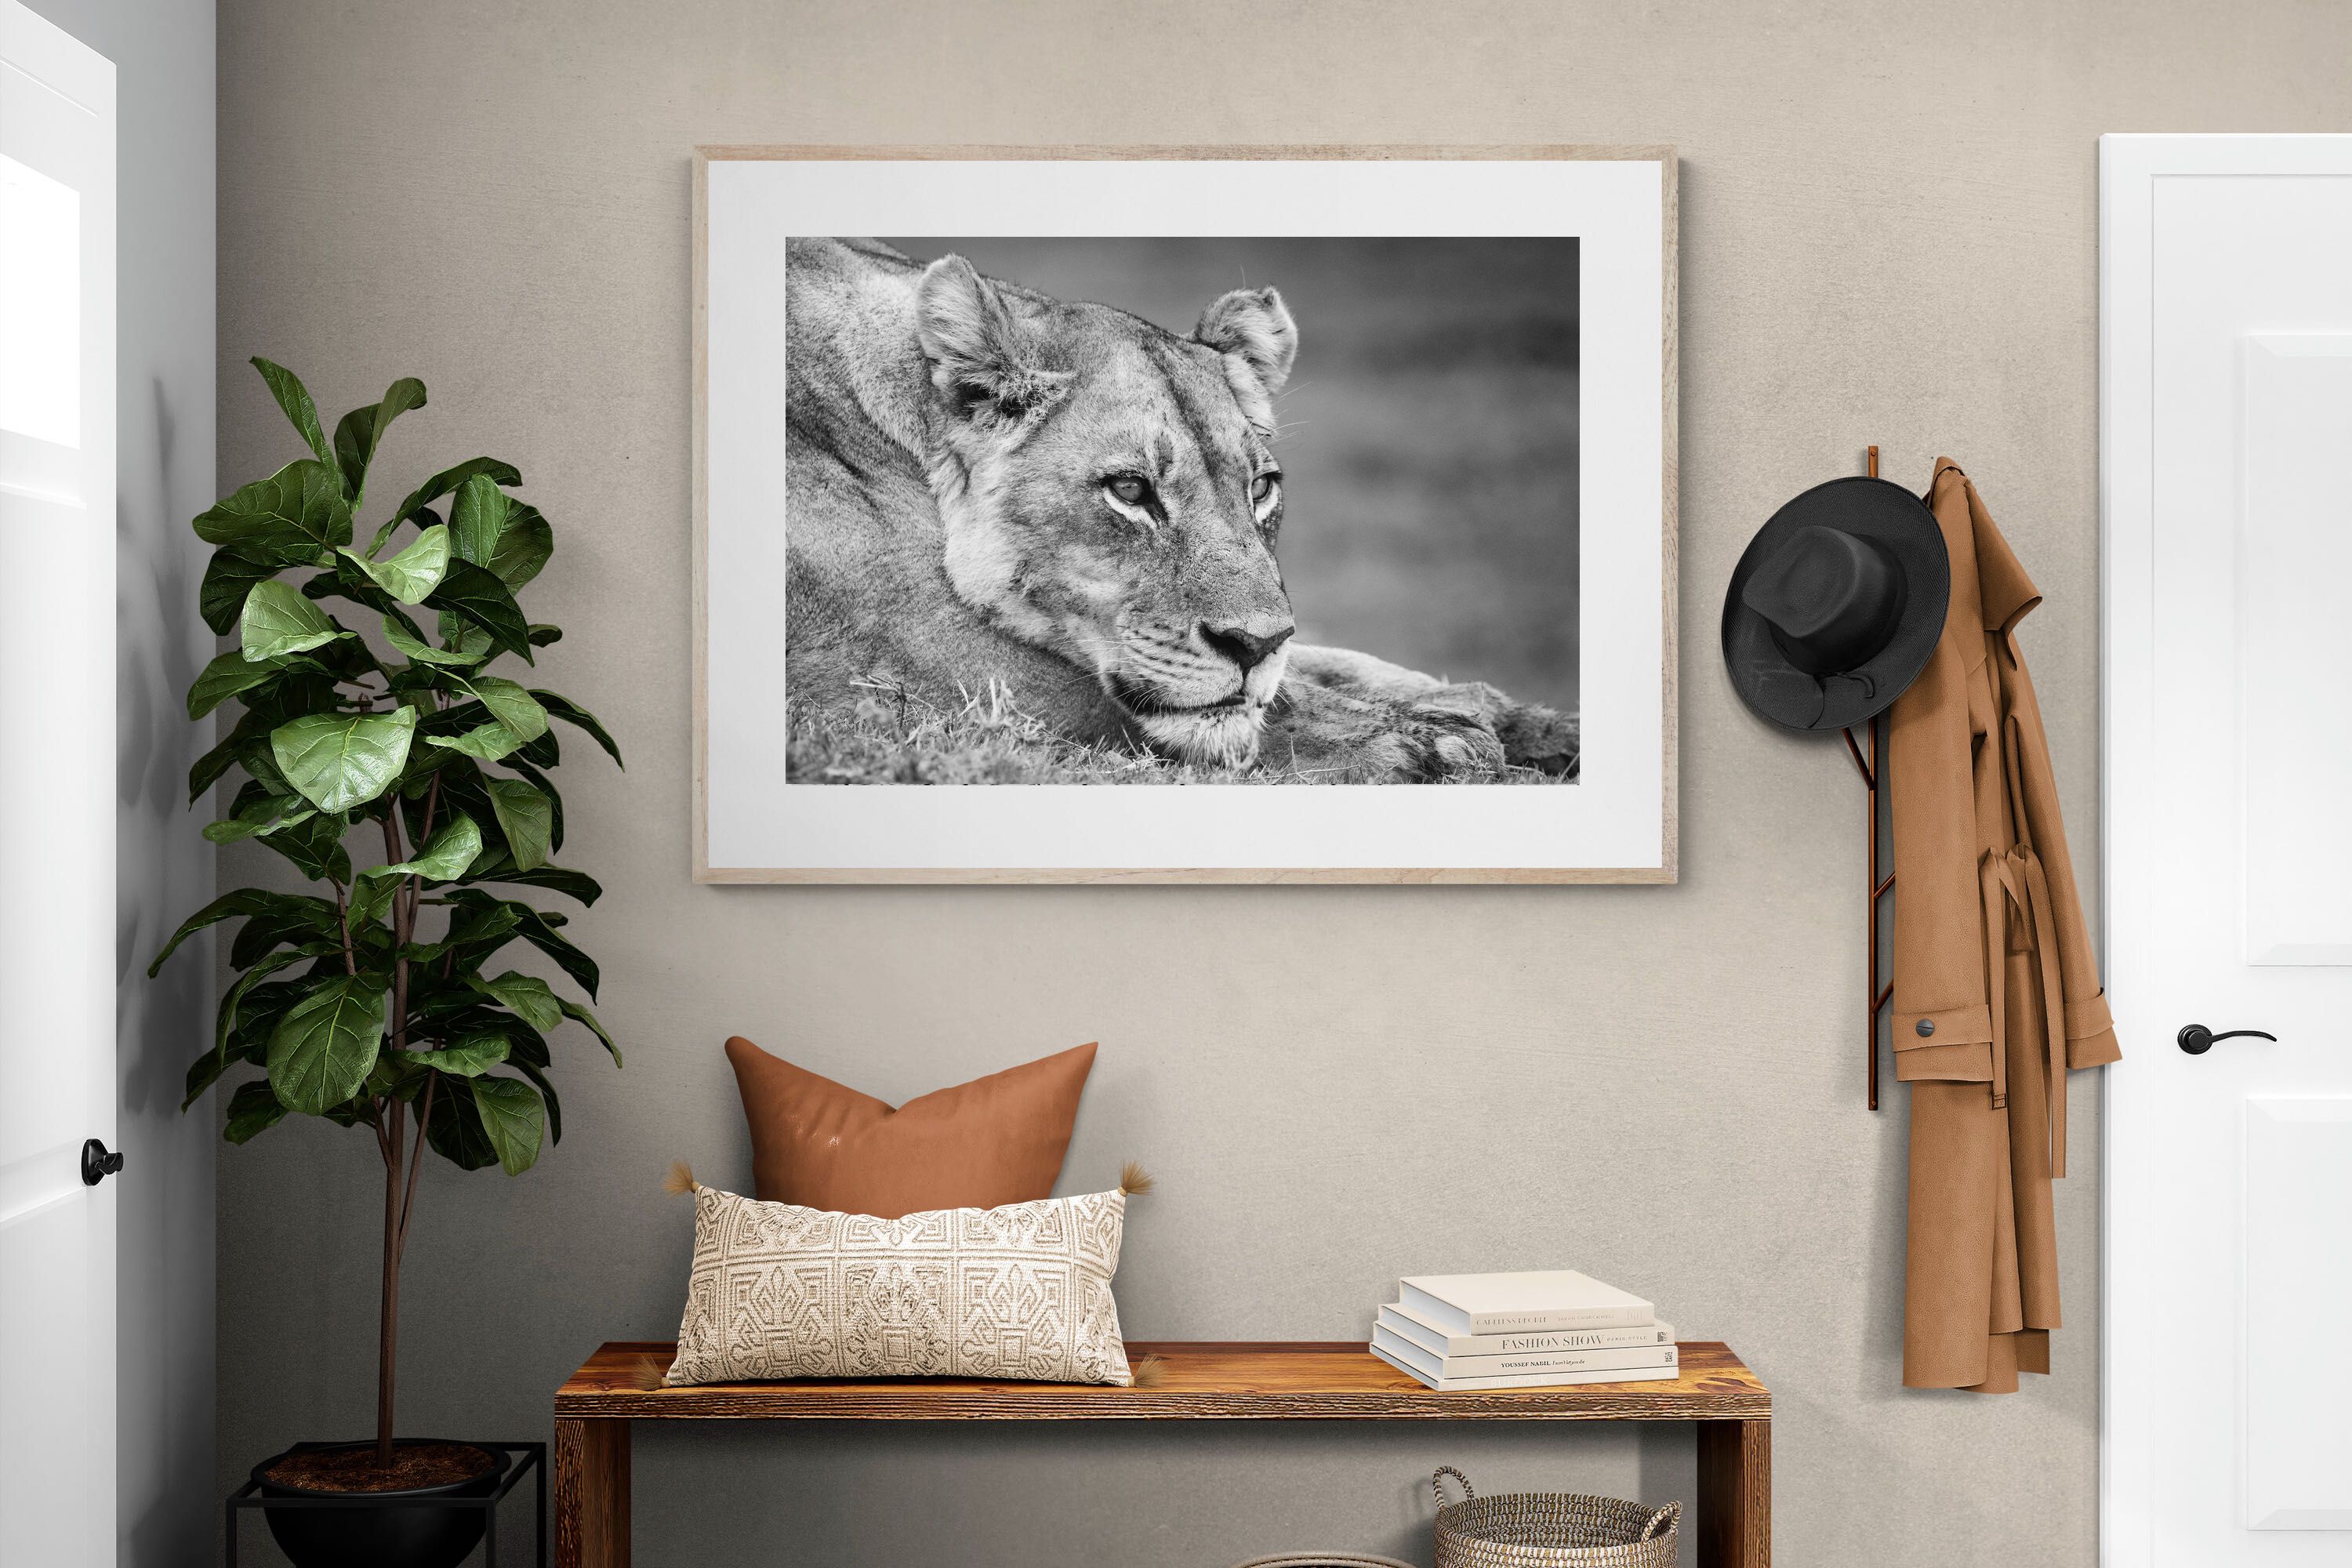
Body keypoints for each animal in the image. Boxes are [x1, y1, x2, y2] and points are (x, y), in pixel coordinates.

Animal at [781, 236, 1578, 783]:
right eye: (1131, 491)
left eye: (1261, 489)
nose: (1254, 646)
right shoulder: (925, 668)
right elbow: (1255, 708)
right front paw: (1436, 741)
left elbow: (1335, 665)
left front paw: (1529, 721)